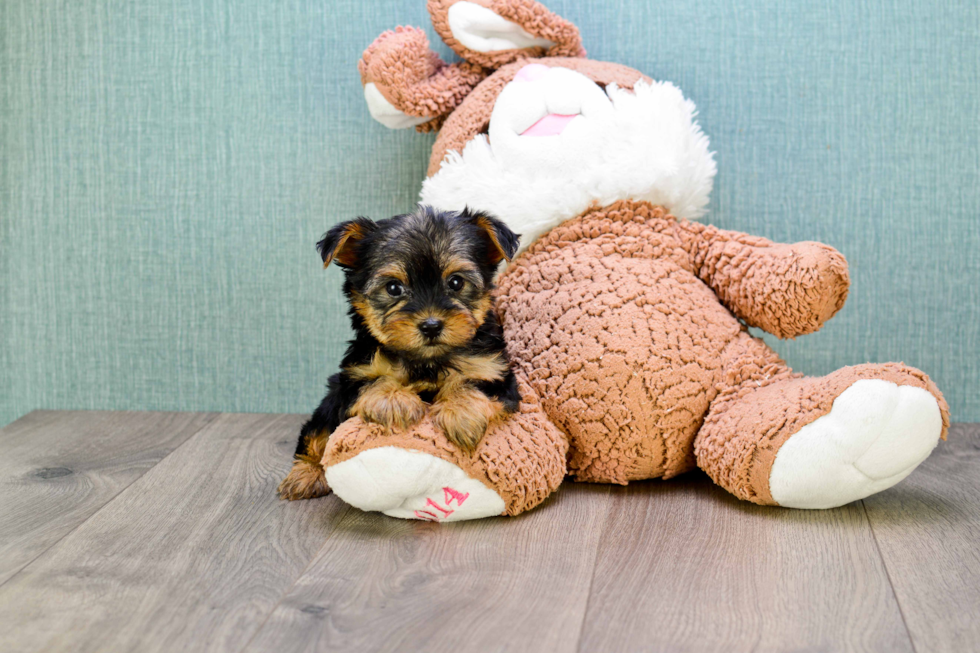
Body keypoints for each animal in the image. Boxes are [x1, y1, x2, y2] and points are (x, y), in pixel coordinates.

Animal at [278, 206, 520, 502]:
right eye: (393, 288)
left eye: (456, 282)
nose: (431, 325)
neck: (425, 360)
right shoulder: (353, 377)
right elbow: (374, 382)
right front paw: (396, 402)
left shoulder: (495, 372)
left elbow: (472, 383)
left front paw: (461, 415)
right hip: (328, 404)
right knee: (315, 433)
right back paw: (304, 475)